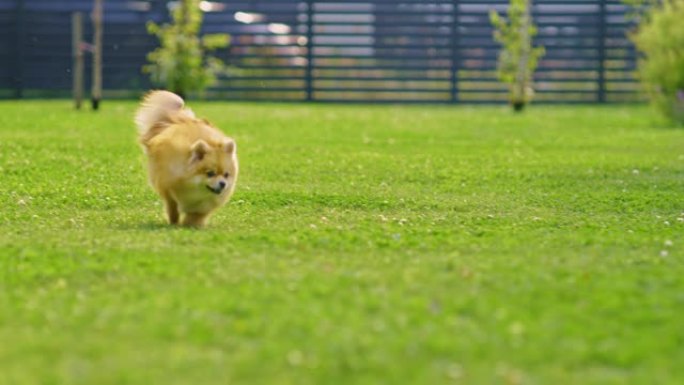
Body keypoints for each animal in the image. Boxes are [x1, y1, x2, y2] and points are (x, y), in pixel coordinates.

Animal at [135, 90, 239, 226]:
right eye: (210, 173)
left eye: (226, 175)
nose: (223, 183)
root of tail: (179, 120)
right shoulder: (168, 189)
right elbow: (173, 207)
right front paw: (175, 222)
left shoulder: (203, 205)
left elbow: (197, 215)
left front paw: (191, 225)